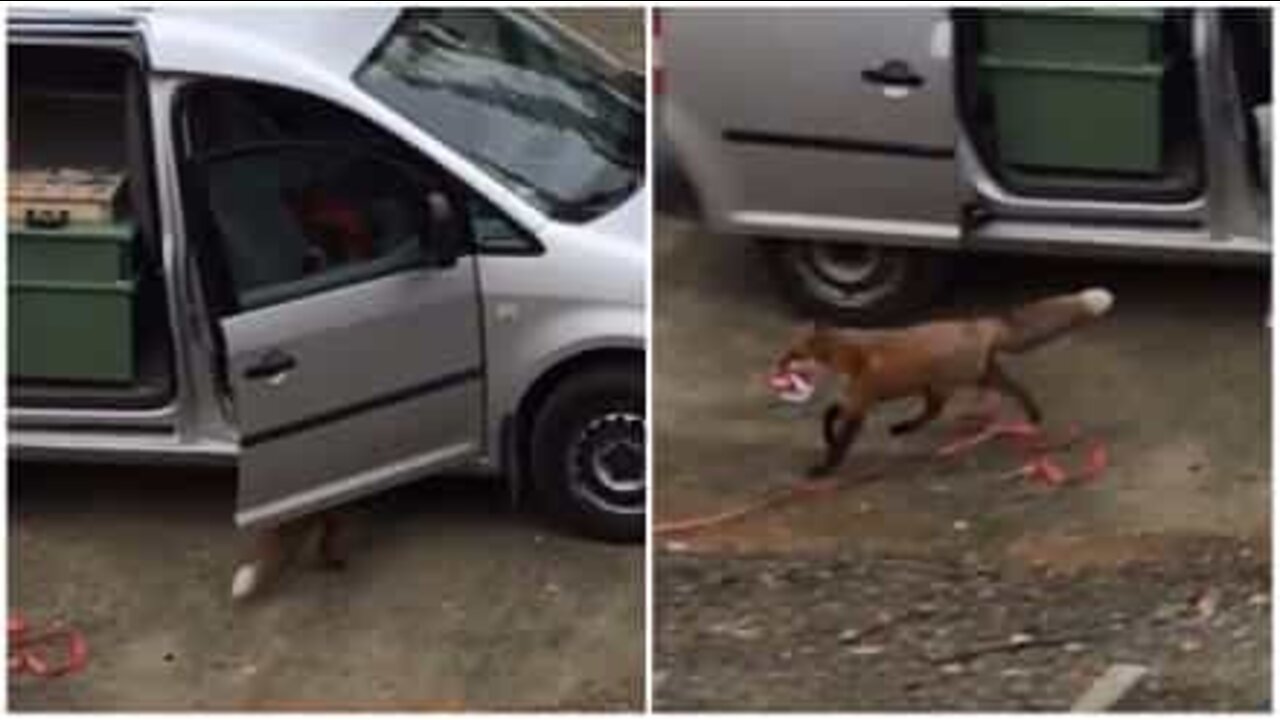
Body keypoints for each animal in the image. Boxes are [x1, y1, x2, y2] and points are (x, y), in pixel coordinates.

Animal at [773, 285, 1116, 476]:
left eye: (793, 353)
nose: (777, 364)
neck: (852, 355)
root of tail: (980, 324)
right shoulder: (854, 399)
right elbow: (830, 414)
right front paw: (828, 437)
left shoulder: (861, 401)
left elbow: (840, 438)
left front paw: (824, 468)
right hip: (973, 377)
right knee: (1013, 388)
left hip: (959, 381)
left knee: (937, 410)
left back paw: (904, 427)